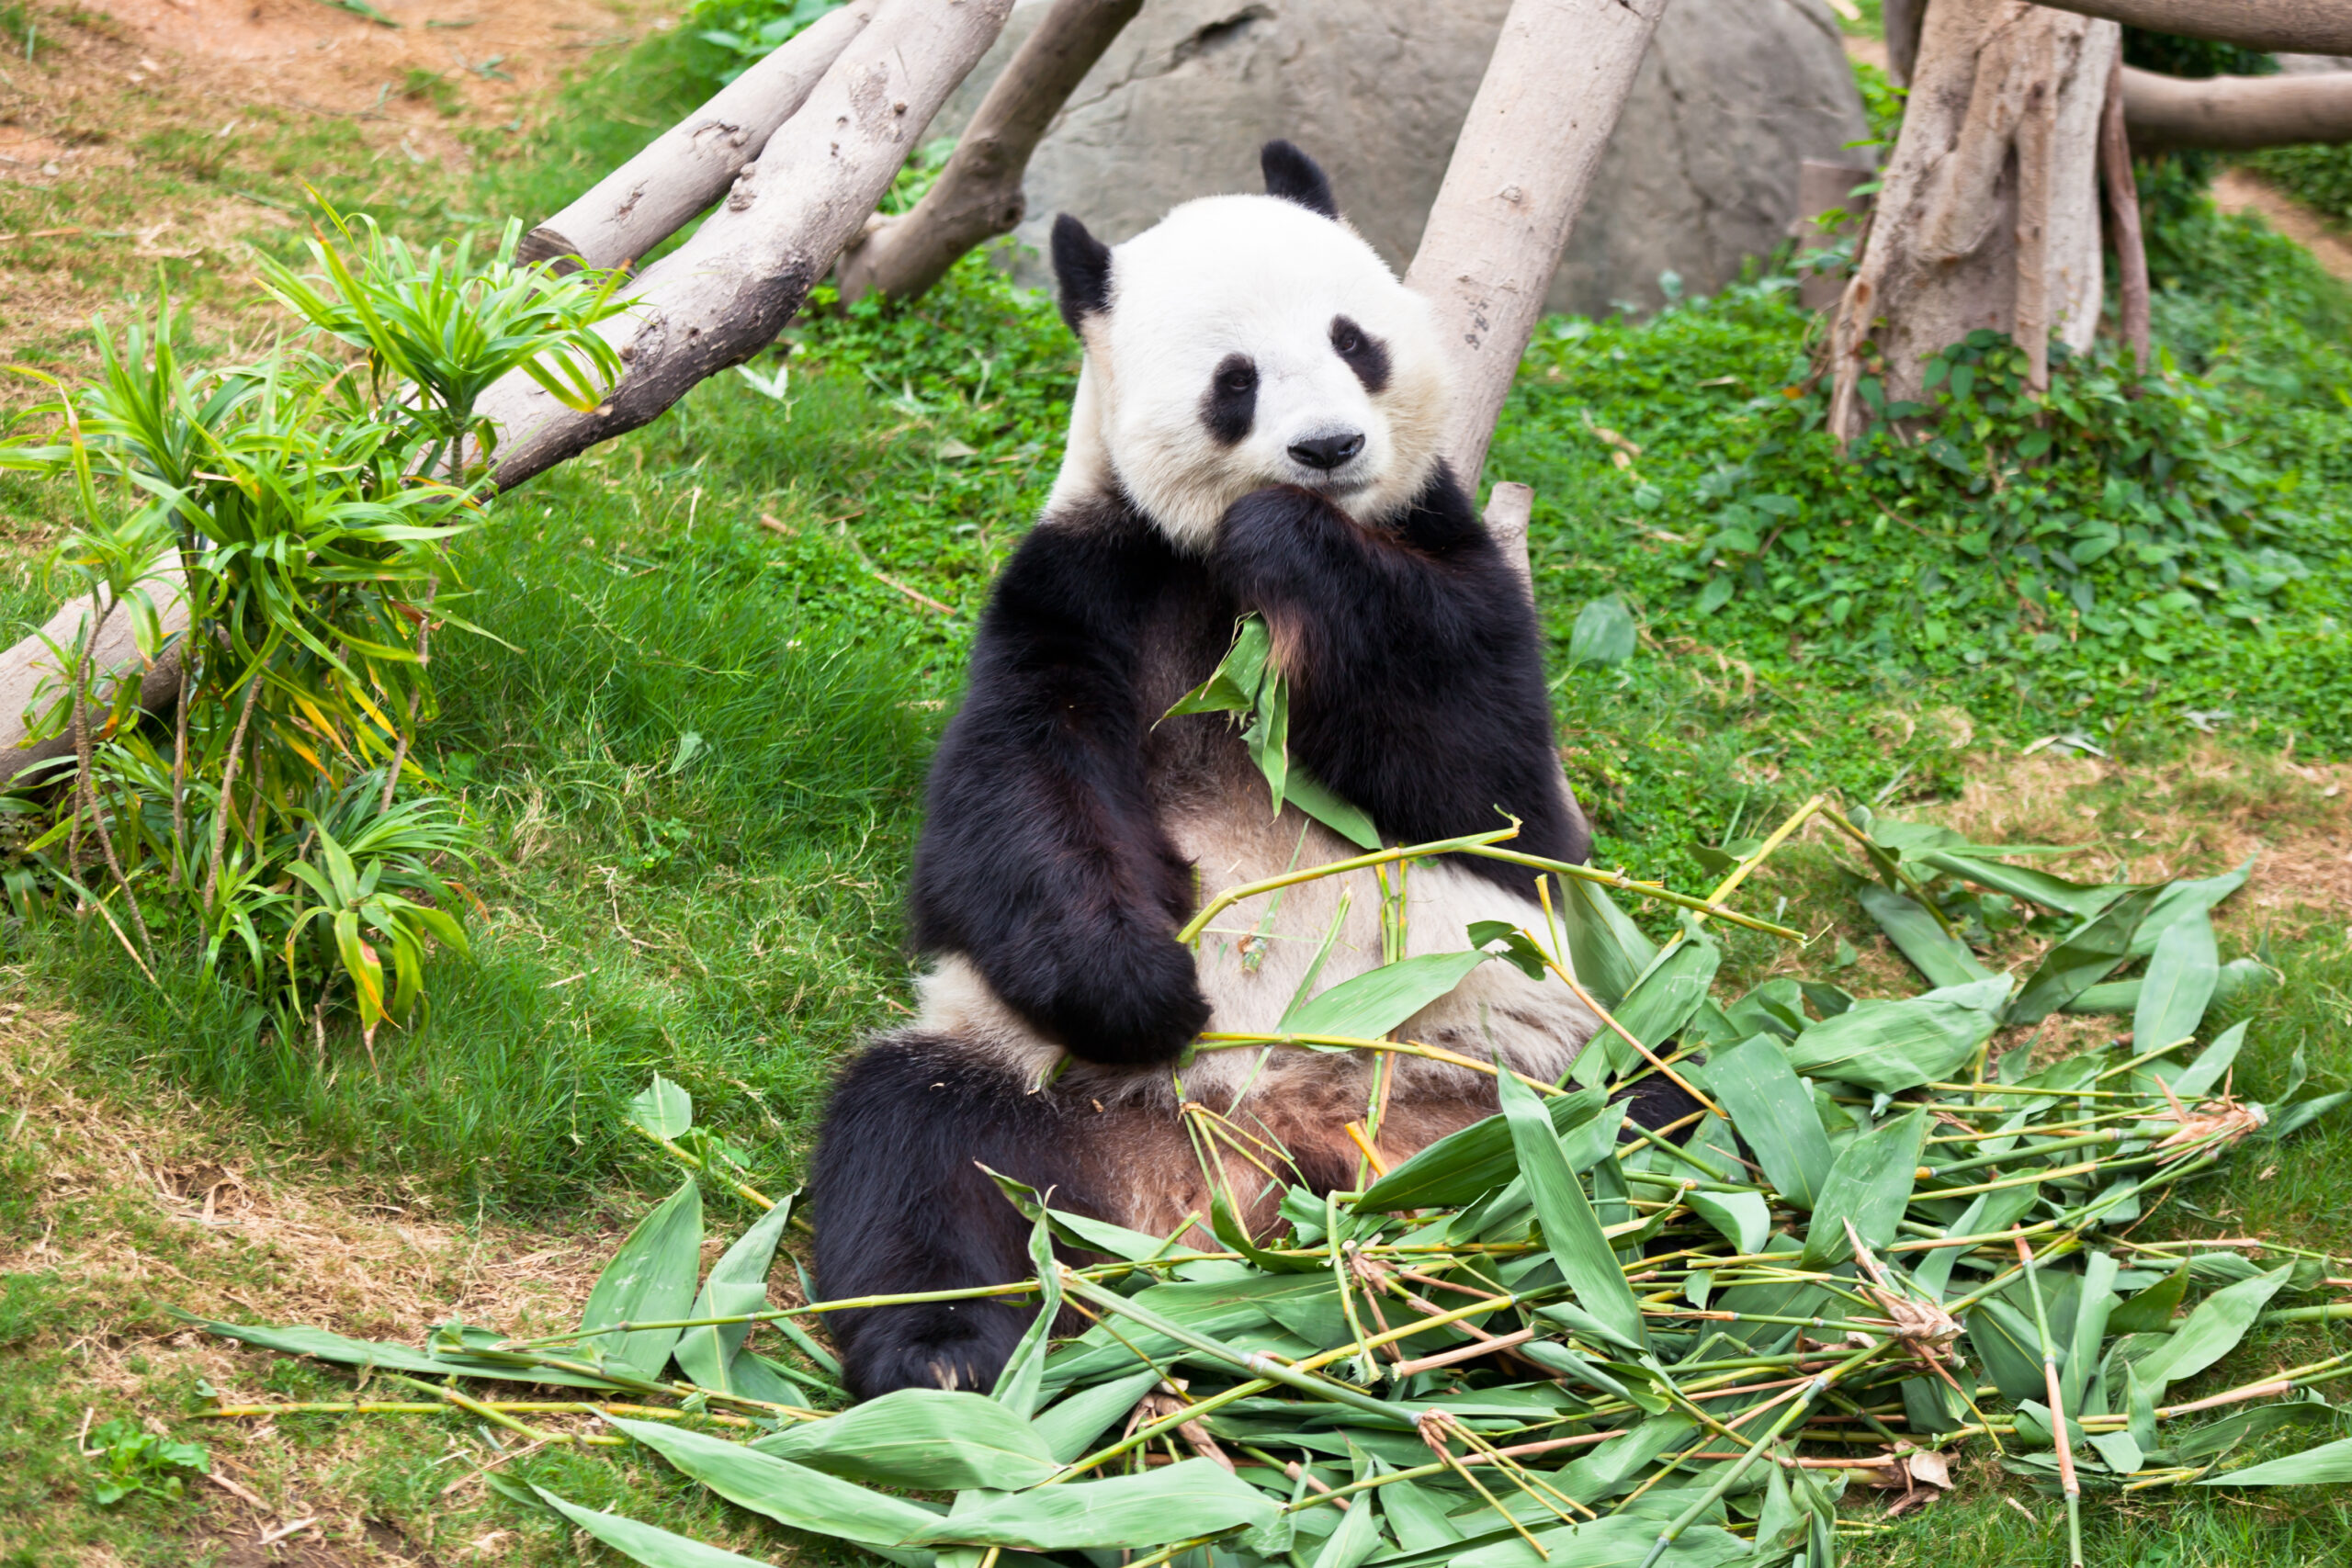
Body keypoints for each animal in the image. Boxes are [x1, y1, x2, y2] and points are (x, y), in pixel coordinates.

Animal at [808, 143, 1618, 1401]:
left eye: (1353, 340)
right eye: (1234, 381)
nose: (1328, 450)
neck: (1215, 570)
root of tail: (1267, 1158)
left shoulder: (1445, 550)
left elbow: (1478, 776)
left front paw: (1294, 542)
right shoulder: (1086, 580)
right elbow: (1018, 800)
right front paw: (1147, 987)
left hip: (1524, 1076)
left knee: (1668, 1118)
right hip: (1048, 1086)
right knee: (913, 1142)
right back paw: (941, 1356)